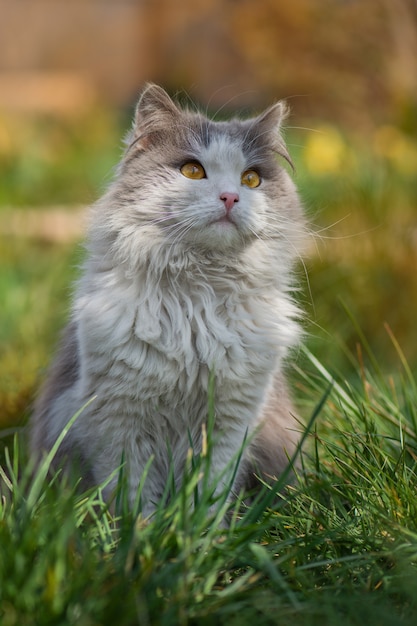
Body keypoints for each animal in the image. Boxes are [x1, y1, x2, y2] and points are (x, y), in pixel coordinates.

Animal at [29, 81, 304, 512]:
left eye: (251, 179)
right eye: (192, 170)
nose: (230, 197)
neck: (198, 301)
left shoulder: (231, 421)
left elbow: (209, 495)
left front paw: (201, 529)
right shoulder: (118, 419)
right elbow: (133, 497)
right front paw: (141, 529)